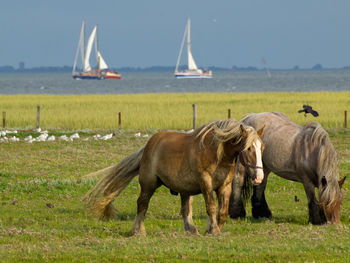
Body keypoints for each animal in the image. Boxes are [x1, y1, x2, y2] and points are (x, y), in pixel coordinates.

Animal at [83, 119, 264, 235]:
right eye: (248, 148)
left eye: (261, 147)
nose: (259, 177)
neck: (217, 154)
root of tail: (149, 144)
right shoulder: (205, 183)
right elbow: (211, 207)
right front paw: (213, 230)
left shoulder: (224, 186)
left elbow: (223, 211)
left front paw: (213, 229)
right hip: (148, 184)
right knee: (142, 204)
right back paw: (138, 231)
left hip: (185, 190)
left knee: (185, 210)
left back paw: (191, 230)